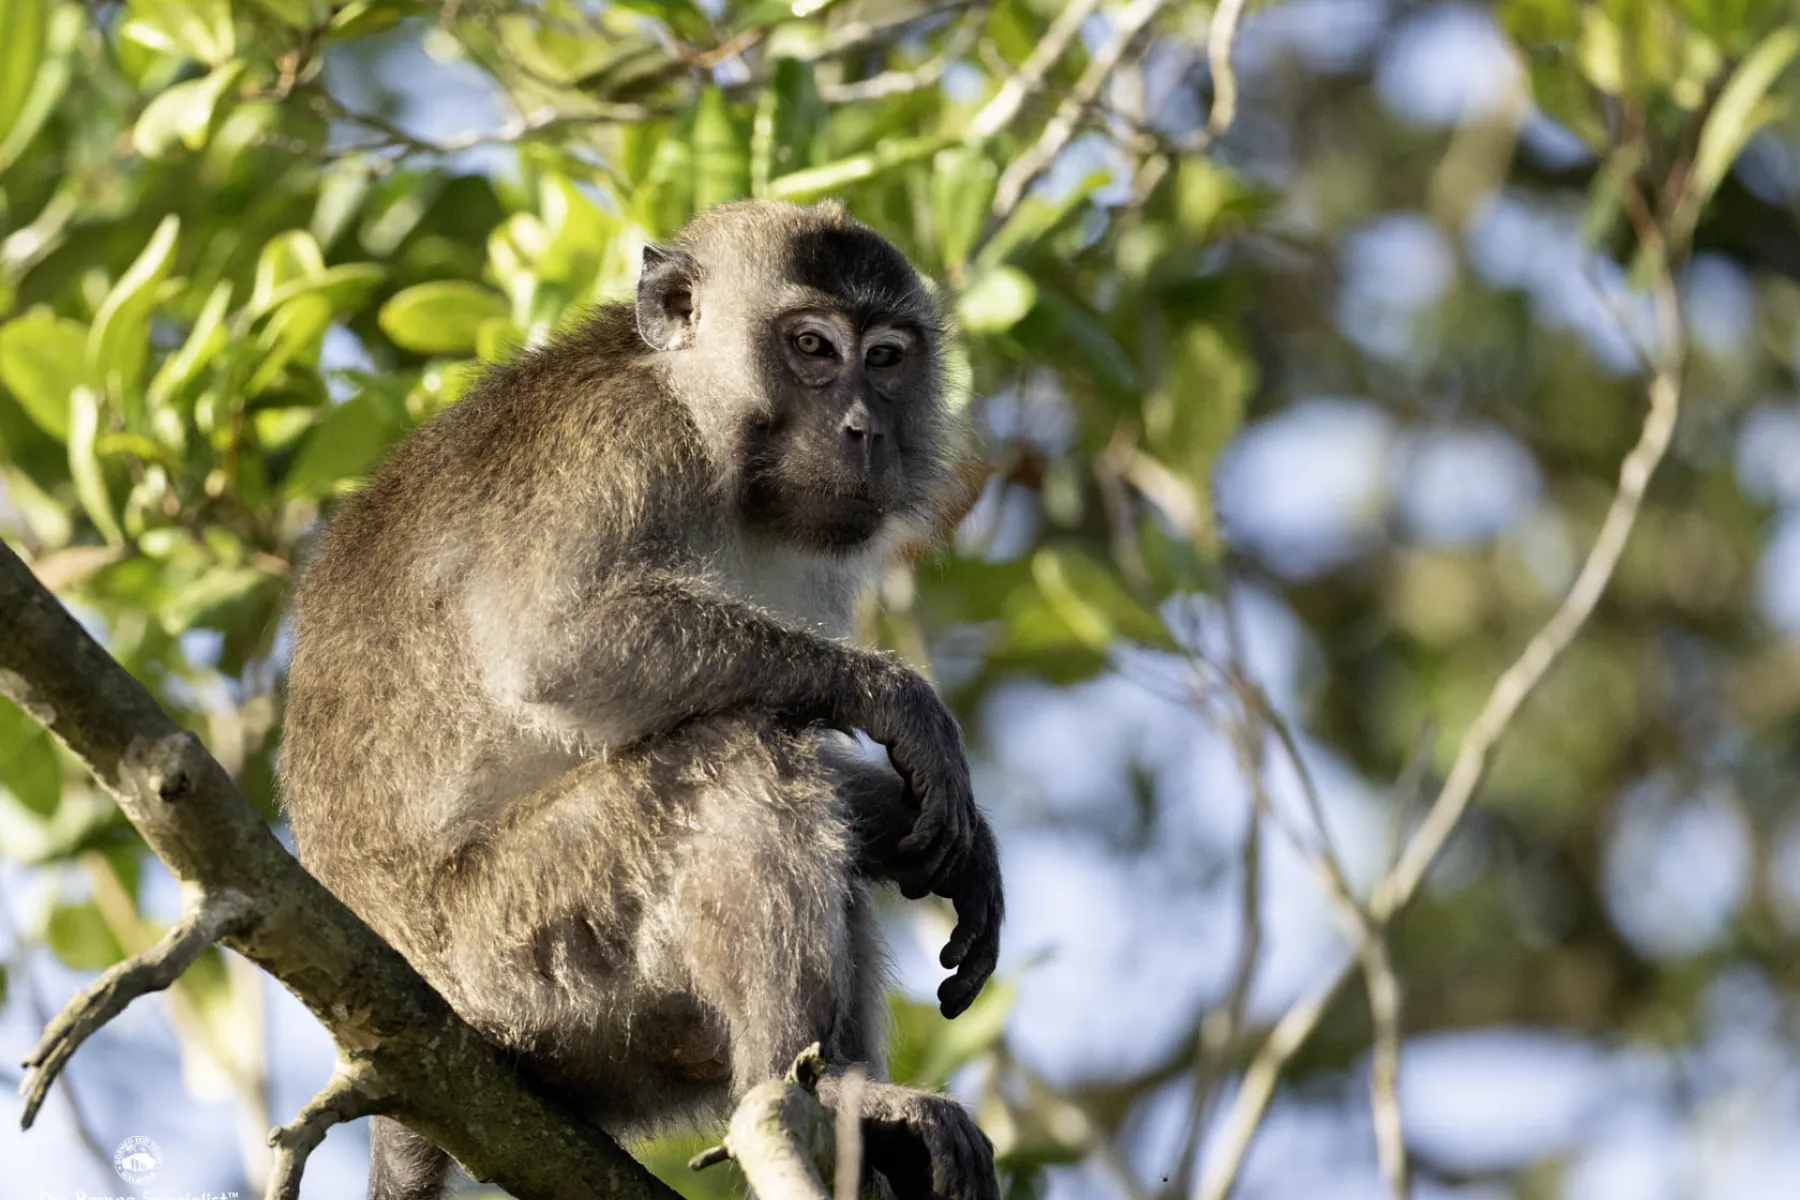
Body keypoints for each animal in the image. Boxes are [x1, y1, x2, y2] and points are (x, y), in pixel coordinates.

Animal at [279, 199, 1004, 1200]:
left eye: (888, 358)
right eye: (813, 347)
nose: (866, 429)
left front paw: (910, 817)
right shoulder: (626, 442)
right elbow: (553, 647)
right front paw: (900, 703)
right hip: (518, 960)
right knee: (735, 762)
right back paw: (814, 1091)